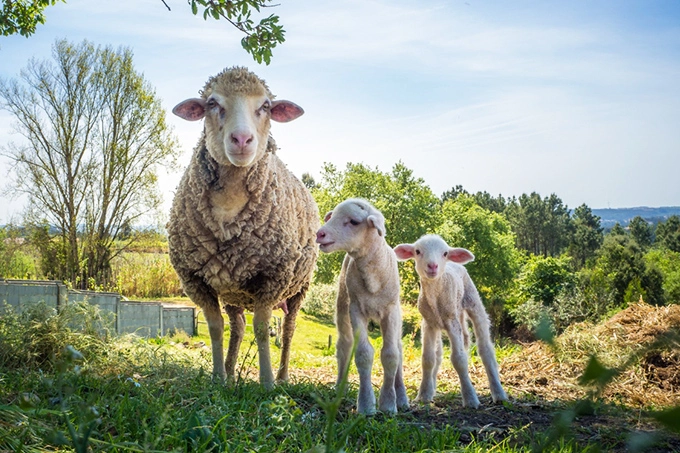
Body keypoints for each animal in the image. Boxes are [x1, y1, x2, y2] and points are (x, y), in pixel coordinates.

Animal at [167, 66, 319, 389]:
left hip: (299, 287)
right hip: (231, 287)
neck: (229, 203)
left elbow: (262, 329)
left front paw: (267, 383)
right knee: (236, 326)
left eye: (266, 106)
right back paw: (230, 373)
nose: (241, 139)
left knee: (288, 329)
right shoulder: (195, 280)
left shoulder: (272, 277)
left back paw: (283, 375)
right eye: (212, 103)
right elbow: (215, 328)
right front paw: (216, 378)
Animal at [316, 198, 409, 415]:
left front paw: (389, 403)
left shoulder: (391, 311)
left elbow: (391, 355)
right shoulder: (356, 309)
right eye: (332, 216)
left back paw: (401, 397)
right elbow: (363, 354)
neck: (373, 276)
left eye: (354, 221)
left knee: (399, 349)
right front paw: (366, 405)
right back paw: (340, 386)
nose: (320, 233)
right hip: (343, 304)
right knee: (344, 344)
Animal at [394, 234, 507, 408]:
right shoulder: (429, 323)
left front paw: (470, 399)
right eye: (417, 251)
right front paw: (423, 395)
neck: (436, 295)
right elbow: (428, 359)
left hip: (472, 300)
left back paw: (499, 393)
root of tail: (455, 264)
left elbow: (459, 359)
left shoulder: (451, 322)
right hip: (450, 317)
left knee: (485, 349)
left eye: (445, 253)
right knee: (443, 351)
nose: (432, 266)